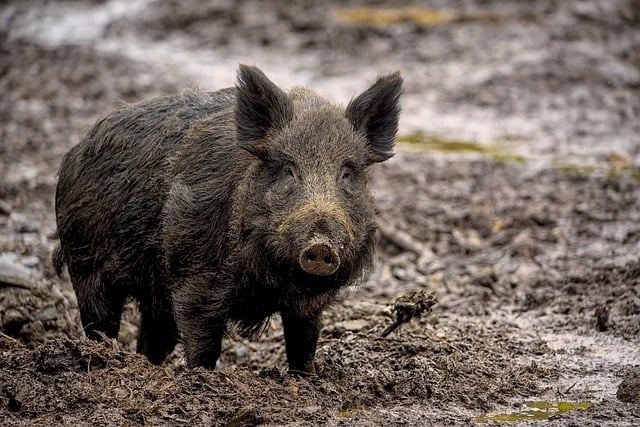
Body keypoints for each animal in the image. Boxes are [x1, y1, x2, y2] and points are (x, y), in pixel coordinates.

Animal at [53, 65, 402, 374]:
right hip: (85, 260)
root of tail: (75, 150)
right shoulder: (195, 275)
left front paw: (307, 378)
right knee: (100, 320)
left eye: (347, 173)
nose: (321, 245)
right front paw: (201, 378)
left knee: (154, 334)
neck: (268, 281)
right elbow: (203, 340)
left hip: (153, 290)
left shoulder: (308, 305)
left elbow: (304, 342)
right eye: (288, 170)